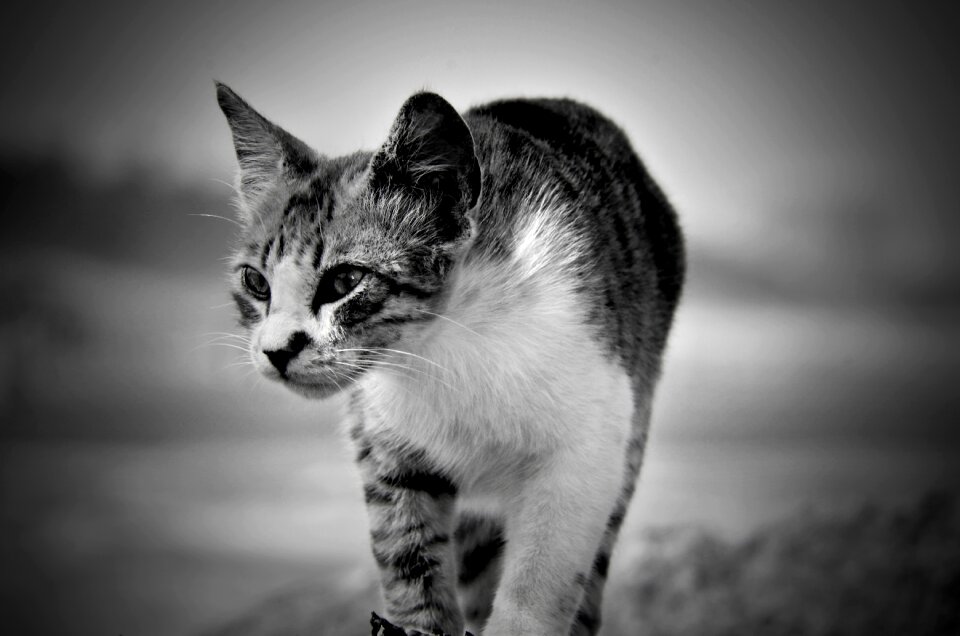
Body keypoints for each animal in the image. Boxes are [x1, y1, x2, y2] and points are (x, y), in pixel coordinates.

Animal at [216, 80, 684, 636]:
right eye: (255, 283)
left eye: (345, 280)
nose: (275, 350)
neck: (441, 344)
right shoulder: (387, 452)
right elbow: (409, 566)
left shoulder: (586, 455)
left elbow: (538, 586)